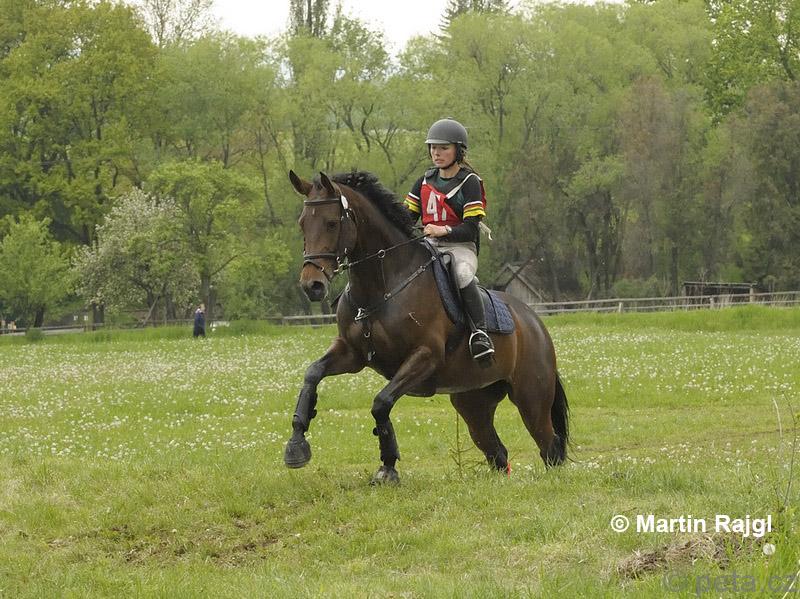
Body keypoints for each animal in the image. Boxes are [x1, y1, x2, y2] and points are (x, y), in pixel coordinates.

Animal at [284, 170, 569, 484]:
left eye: (332, 223)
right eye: (302, 223)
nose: (312, 285)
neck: (382, 286)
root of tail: (535, 323)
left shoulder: (424, 357)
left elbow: (381, 403)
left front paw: (388, 465)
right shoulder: (352, 353)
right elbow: (313, 374)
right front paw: (296, 444)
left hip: (532, 400)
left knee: (550, 446)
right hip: (473, 403)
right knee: (497, 451)